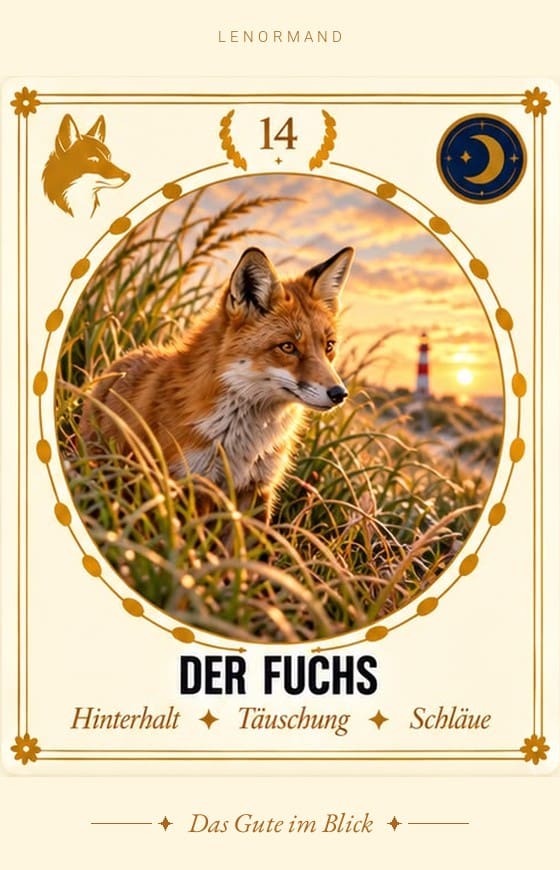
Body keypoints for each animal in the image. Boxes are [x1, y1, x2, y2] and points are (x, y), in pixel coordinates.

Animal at [79, 245, 355, 521]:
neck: (245, 443)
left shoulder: (257, 489)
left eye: (329, 346)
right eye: (287, 347)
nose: (339, 394)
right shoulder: (193, 485)